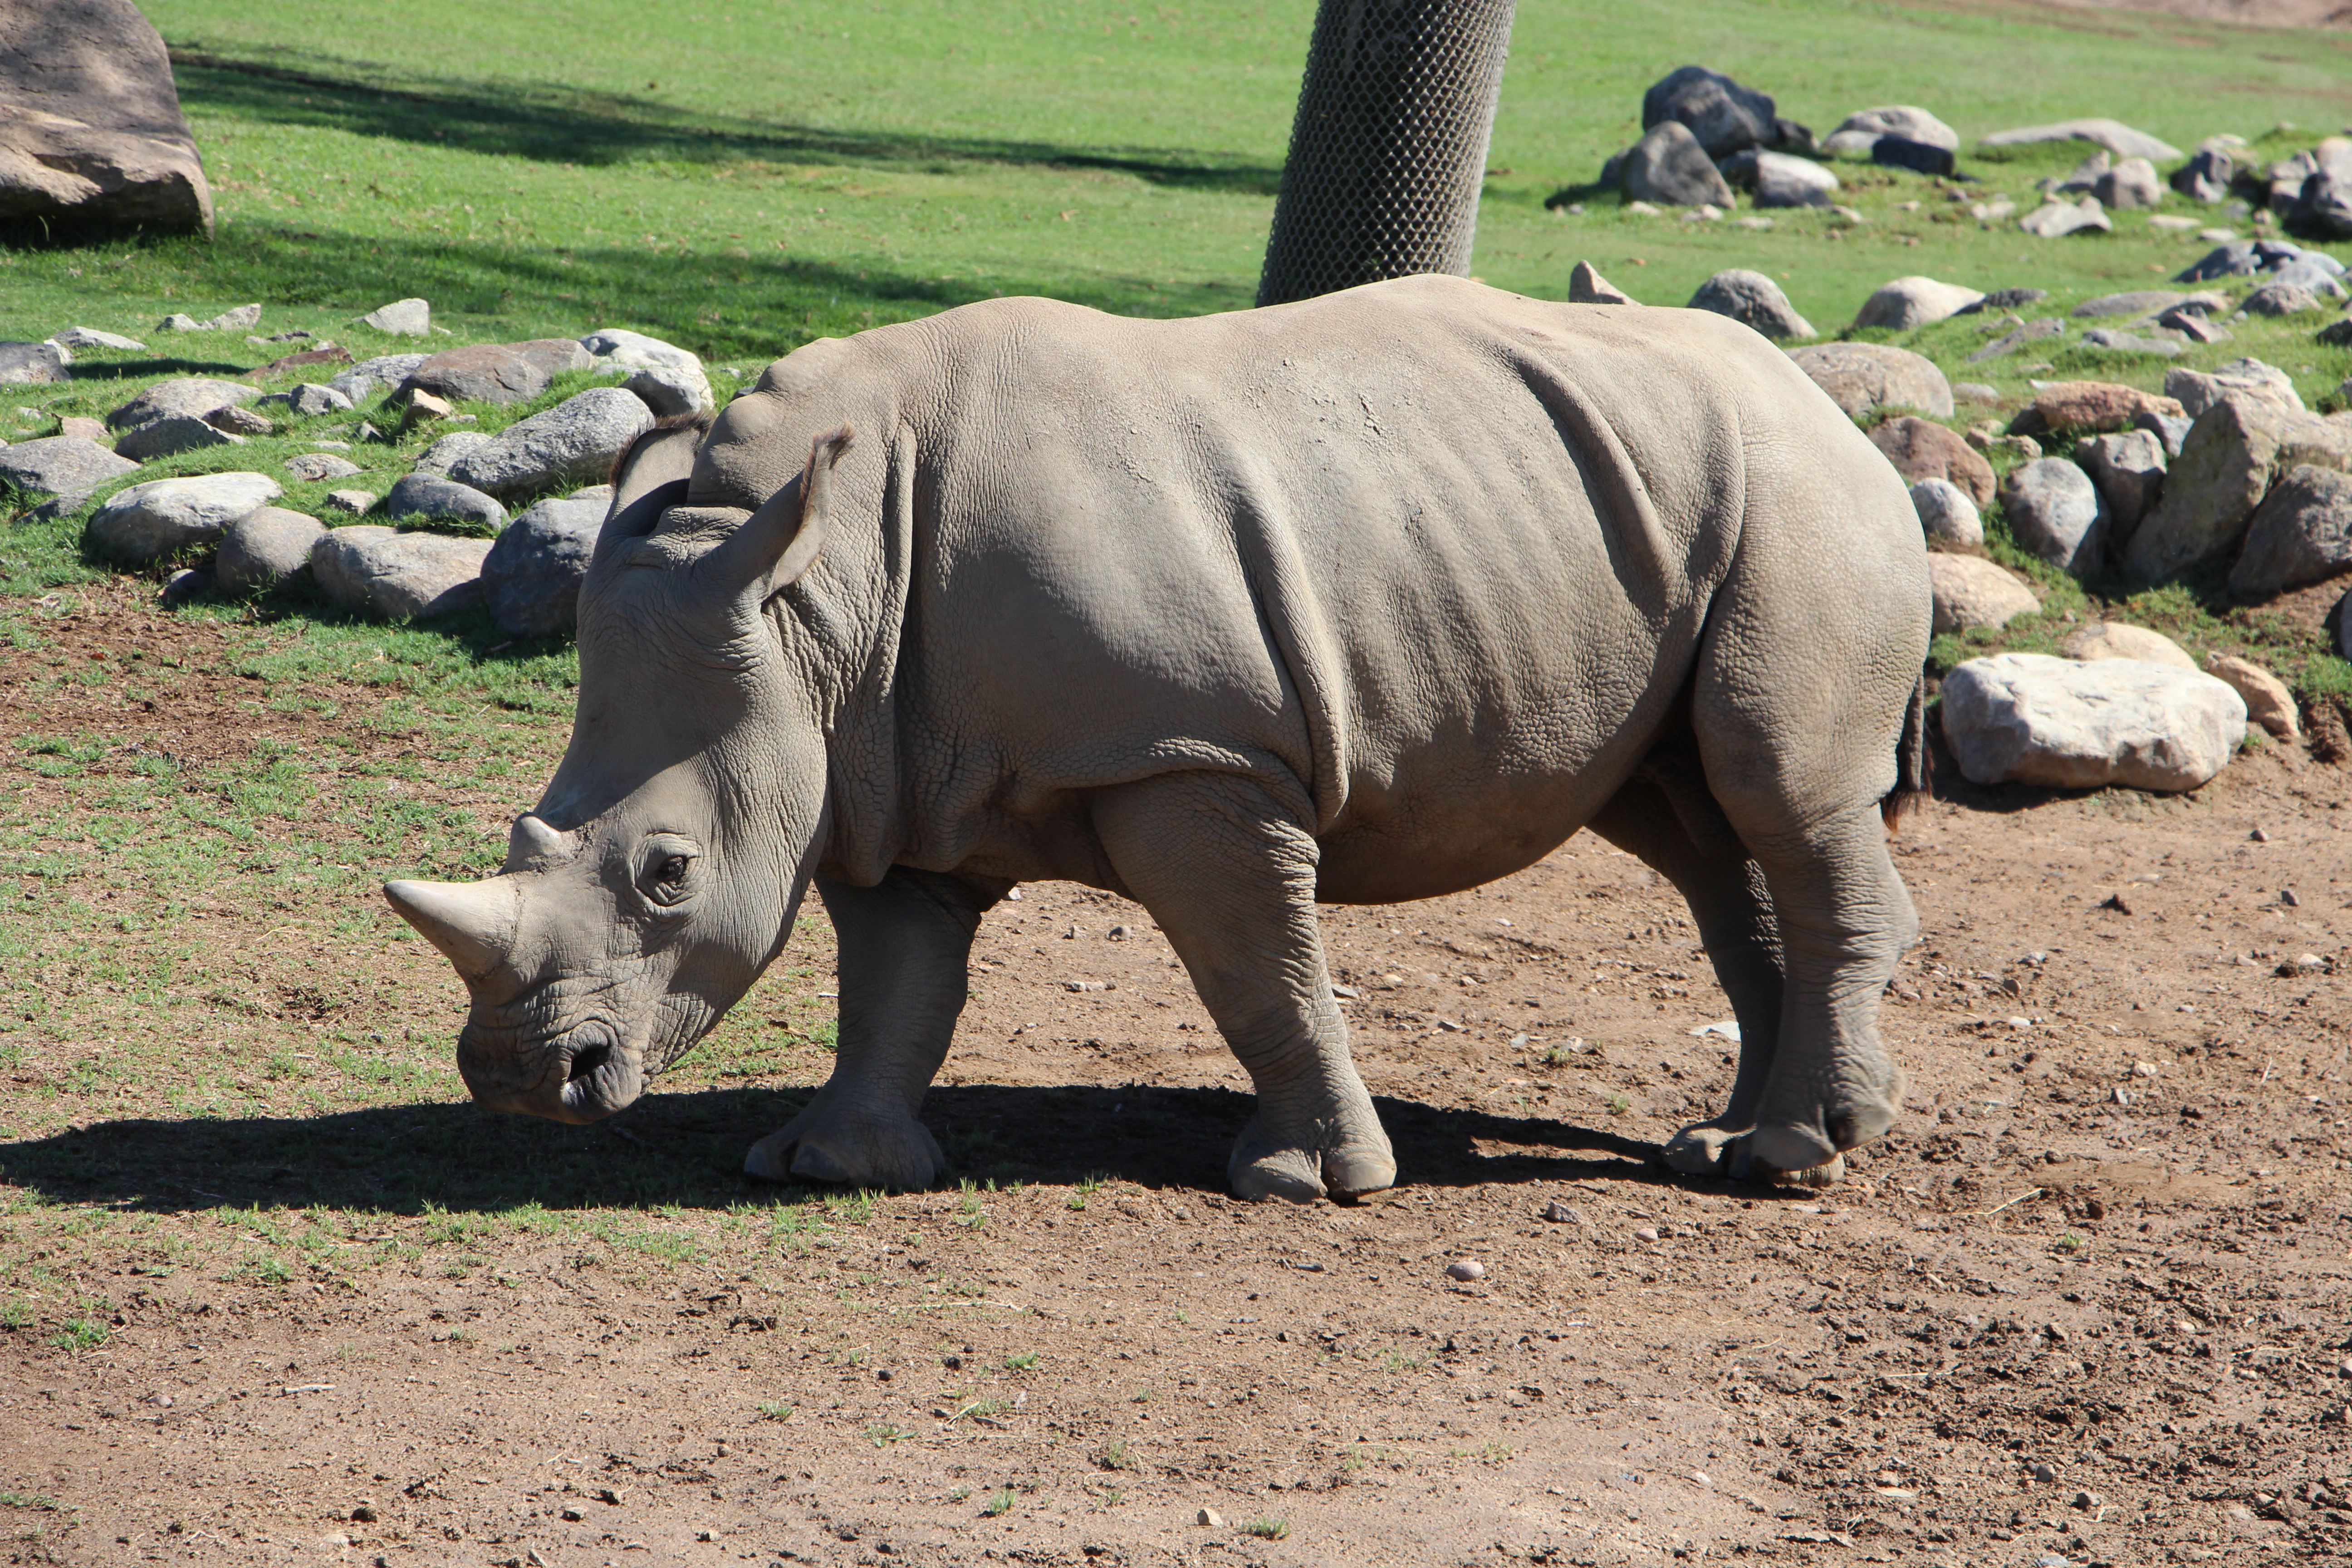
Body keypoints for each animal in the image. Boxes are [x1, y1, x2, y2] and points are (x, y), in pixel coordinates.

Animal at [384, 275, 1930, 1202]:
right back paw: (1735, 1141)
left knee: (1775, 791)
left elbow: (1258, 967)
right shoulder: (880, 766)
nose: (521, 1086)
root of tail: (1825, 399)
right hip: (1636, 517)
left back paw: (1792, 1158)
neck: (816, 594)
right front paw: (833, 1166)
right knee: (1694, 826)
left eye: (668, 876)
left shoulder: (1193, 755)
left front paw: (1308, 1184)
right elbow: (895, 985)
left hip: (1804, 505)